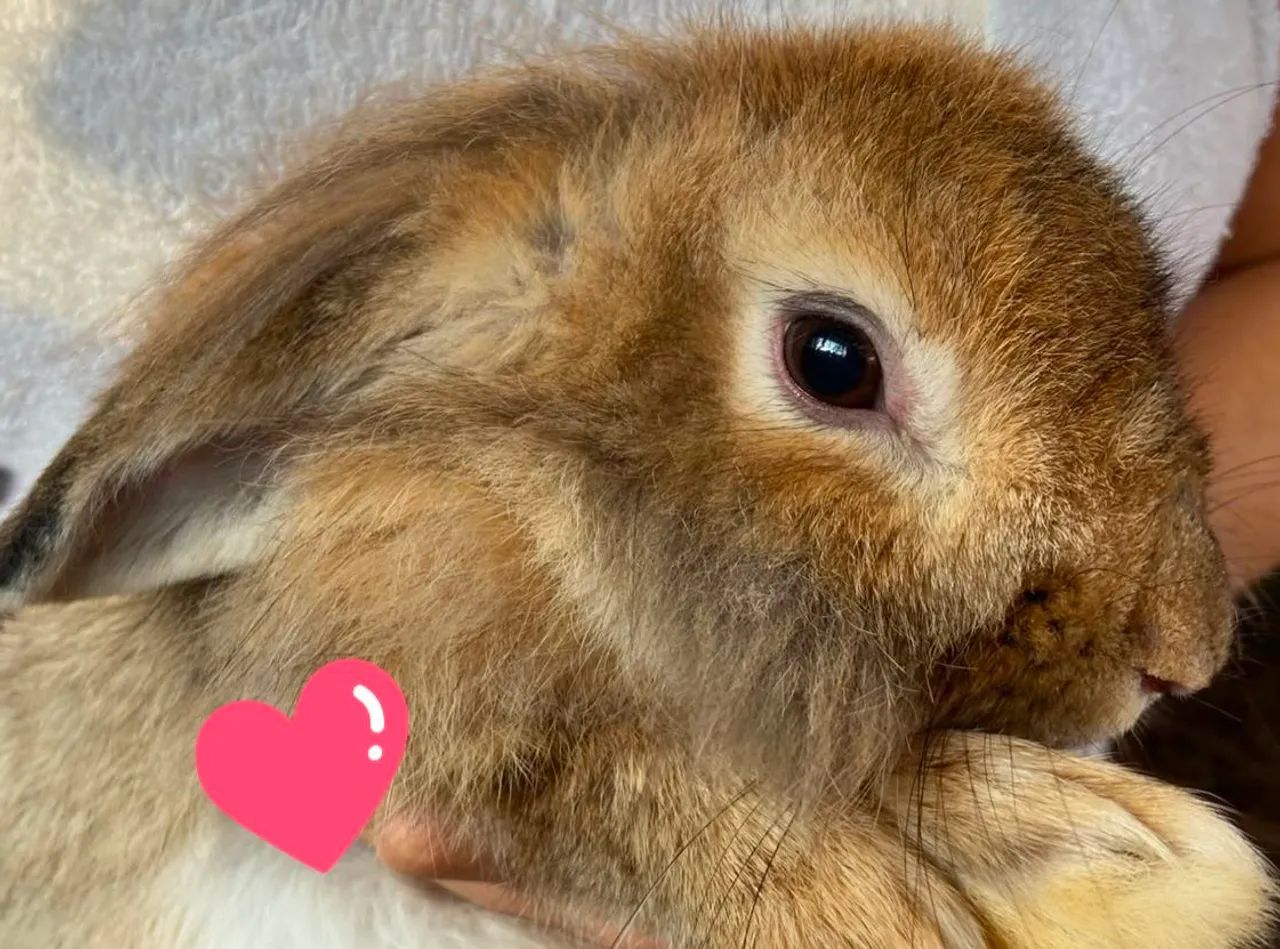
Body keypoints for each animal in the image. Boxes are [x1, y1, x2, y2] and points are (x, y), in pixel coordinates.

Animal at [0, 22, 1274, 949]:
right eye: (831, 360)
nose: (1183, 651)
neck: (531, 513)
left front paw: (1137, 869)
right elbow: (616, 780)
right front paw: (899, 910)